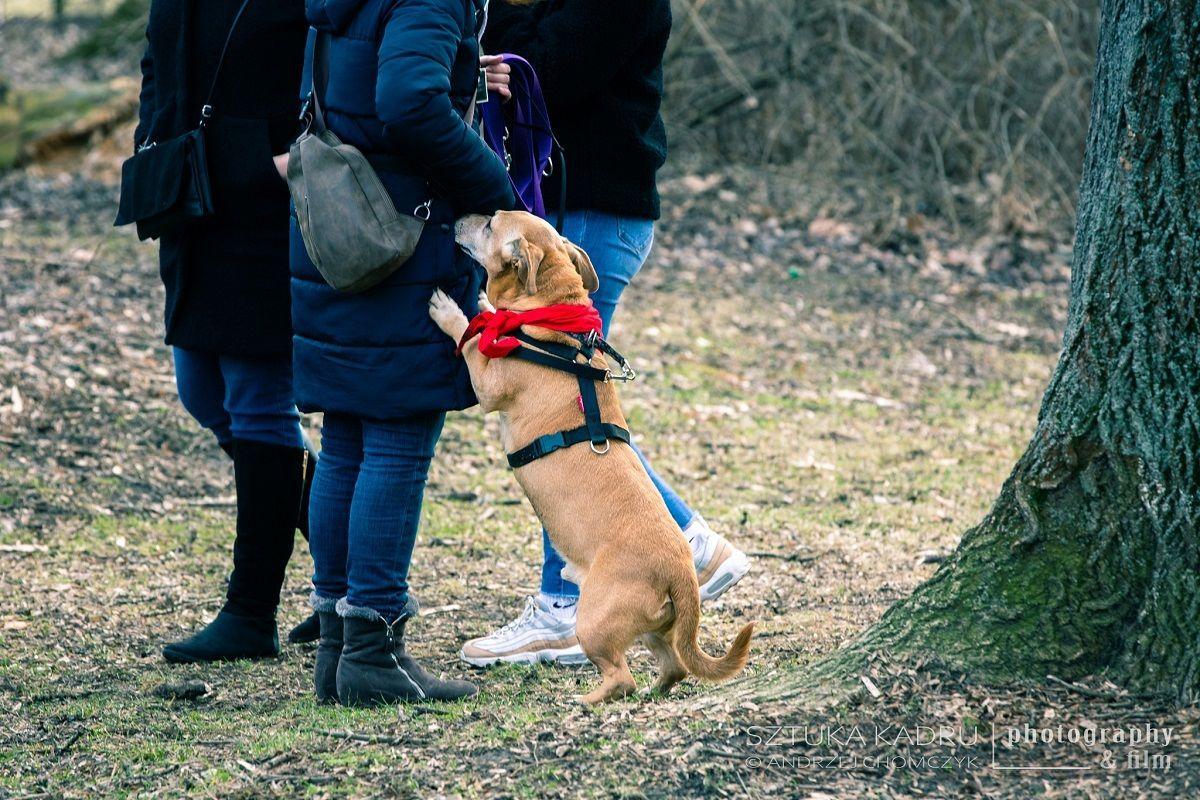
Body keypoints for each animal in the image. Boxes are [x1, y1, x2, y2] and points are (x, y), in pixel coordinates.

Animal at [427, 209, 753, 705]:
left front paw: (452, 311)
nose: (459, 215)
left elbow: (468, 333)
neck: (553, 320)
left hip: (594, 622)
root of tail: (682, 575)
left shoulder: (487, 382)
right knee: (673, 667)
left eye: (490, 225)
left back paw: (585, 701)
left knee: (620, 676)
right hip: (655, 630)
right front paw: (484, 301)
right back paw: (653, 692)